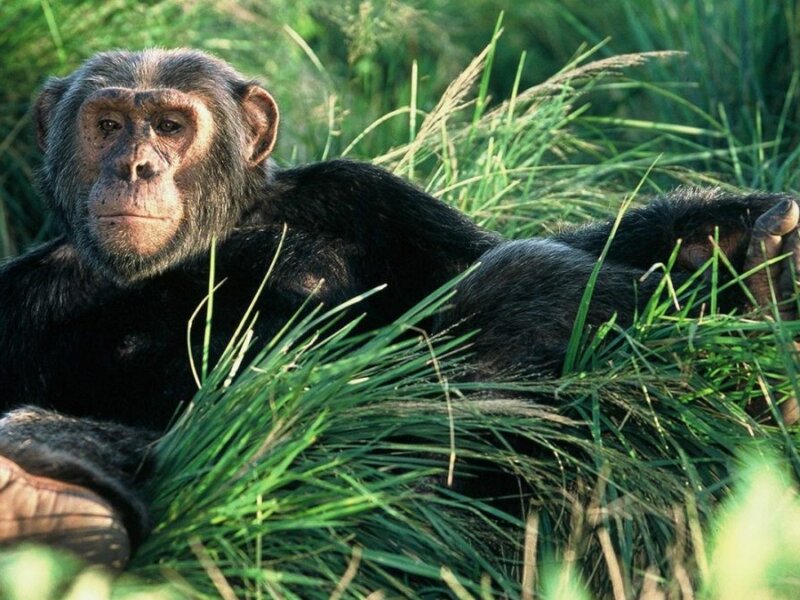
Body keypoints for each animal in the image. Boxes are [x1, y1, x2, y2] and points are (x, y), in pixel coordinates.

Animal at [0, 49, 797, 570]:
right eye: (107, 125)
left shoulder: (370, 195)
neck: (217, 233)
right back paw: (42, 496)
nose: (134, 165)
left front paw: (729, 239)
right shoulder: (20, 297)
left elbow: (479, 255)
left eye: (169, 126)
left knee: (513, 278)